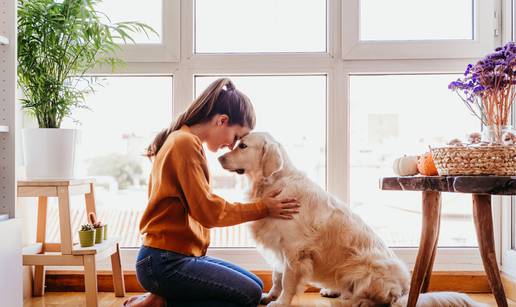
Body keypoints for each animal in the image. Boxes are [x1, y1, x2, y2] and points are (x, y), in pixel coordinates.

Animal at [219, 133, 488, 307]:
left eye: (242, 146)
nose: (220, 158)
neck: (272, 182)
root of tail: (405, 291)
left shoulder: (295, 251)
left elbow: (287, 280)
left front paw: (281, 302)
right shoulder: (278, 245)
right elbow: (276, 276)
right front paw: (270, 295)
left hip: (367, 269)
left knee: (385, 301)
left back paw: (360, 301)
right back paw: (333, 291)